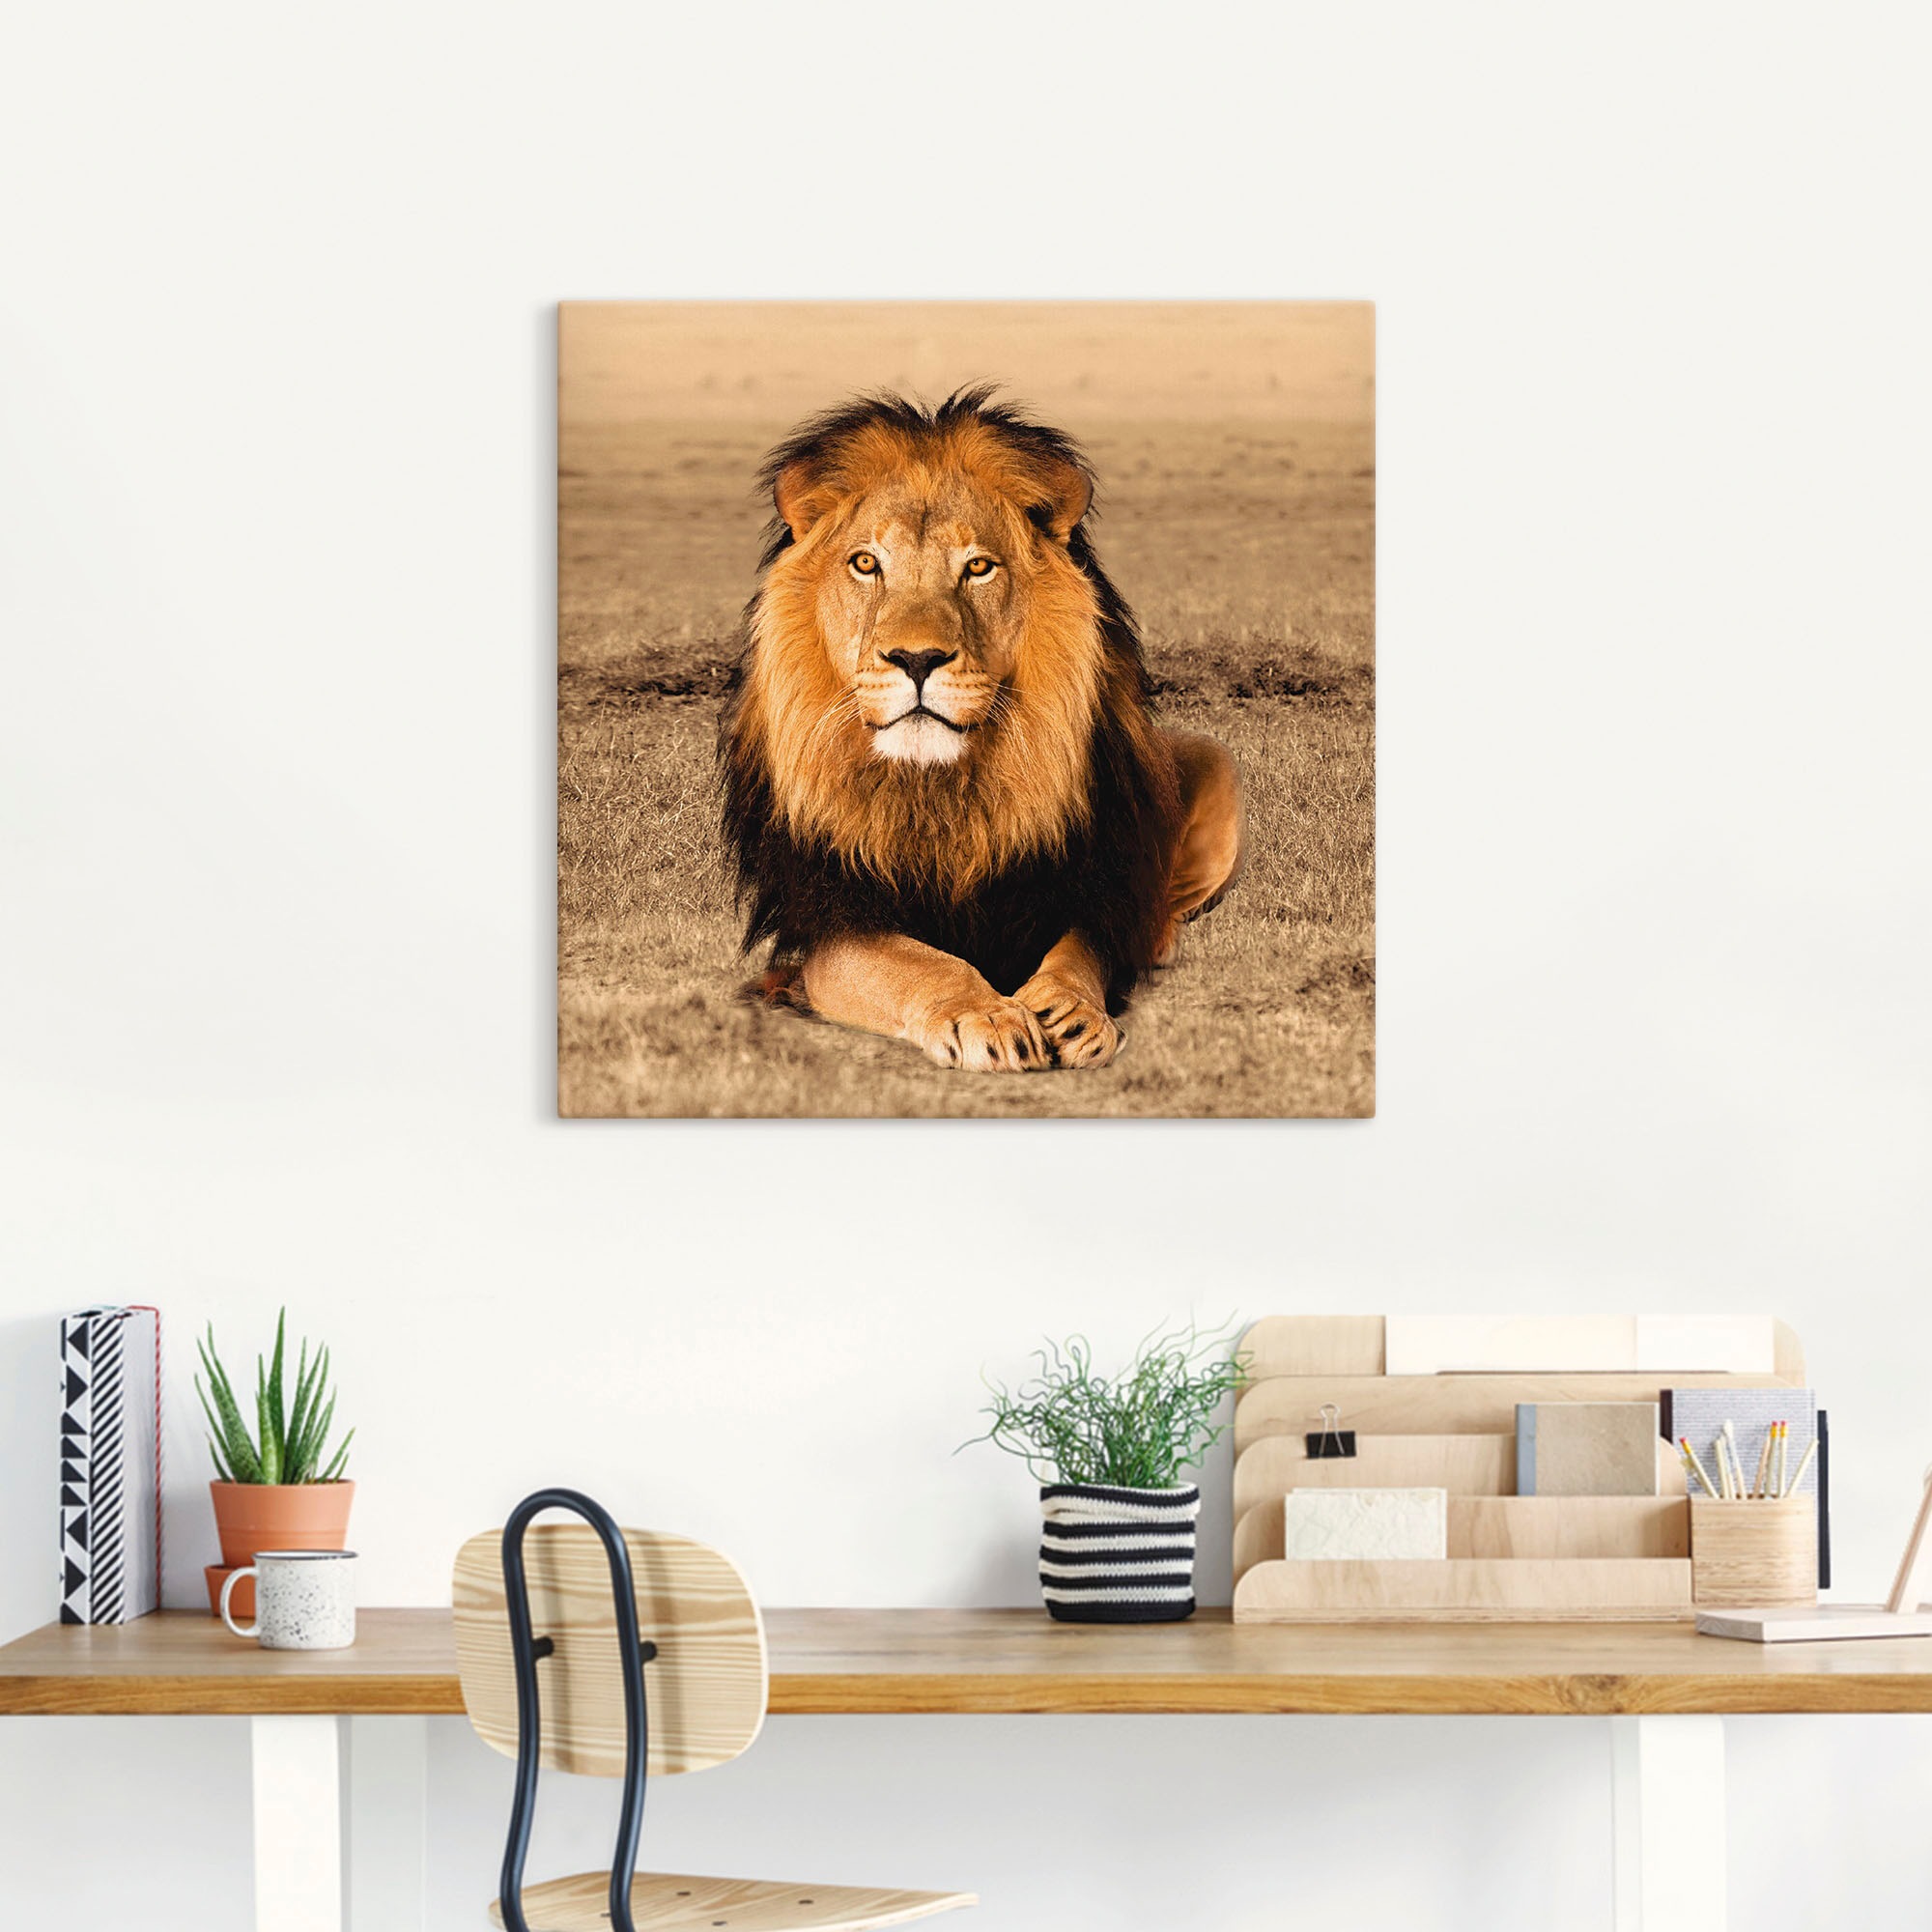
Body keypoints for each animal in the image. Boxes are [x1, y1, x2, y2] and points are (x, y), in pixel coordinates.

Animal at [719, 387, 1244, 1072]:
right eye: (866, 563)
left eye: (978, 567)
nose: (917, 659)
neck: (940, 790)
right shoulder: (833, 920)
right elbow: (919, 963)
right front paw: (988, 1014)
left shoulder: (1080, 890)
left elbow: (1079, 953)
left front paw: (1070, 1010)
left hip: (1213, 761)